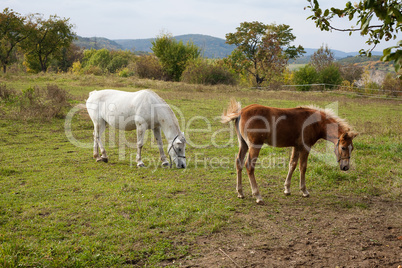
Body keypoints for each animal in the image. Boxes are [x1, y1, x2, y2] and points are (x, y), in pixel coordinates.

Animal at [223, 98, 358, 203]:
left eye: (352, 148)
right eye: (343, 147)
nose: (345, 167)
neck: (315, 122)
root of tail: (240, 112)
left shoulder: (296, 146)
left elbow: (292, 164)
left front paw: (287, 189)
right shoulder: (305, 147)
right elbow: (303, 167)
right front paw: (304, 191)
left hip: (243, 144)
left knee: (239, 162)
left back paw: (240, 193)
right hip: (255, 145)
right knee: (249, 166)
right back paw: (258, 196)